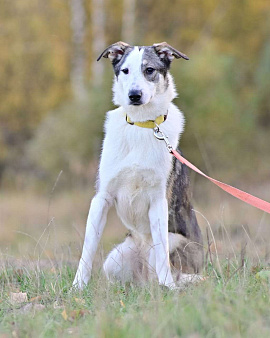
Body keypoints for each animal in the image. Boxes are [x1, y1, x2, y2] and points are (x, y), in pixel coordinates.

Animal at [73, 41, 204, 290]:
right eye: (125, 71)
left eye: (149, 70)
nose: (134, 95)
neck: (142, 125)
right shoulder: (101, 198)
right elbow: (88, 247)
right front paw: (78, 286)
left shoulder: (159, 201)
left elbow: (162, 254)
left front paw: (169, 287)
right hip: (115, 260)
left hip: (176, 241)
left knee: (179, 271)